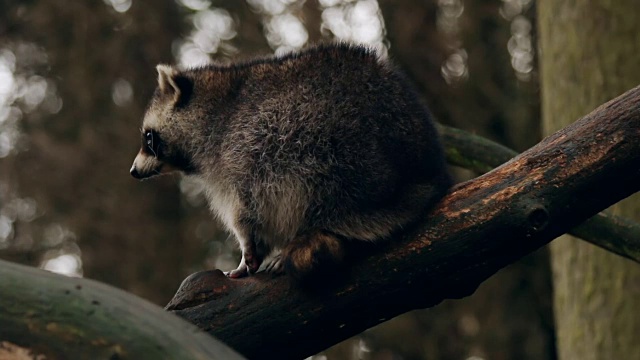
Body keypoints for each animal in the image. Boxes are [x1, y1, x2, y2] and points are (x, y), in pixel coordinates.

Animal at [130, 43, 452, 280]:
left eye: (149, 138)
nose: (133, 171)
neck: (215, 103)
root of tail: (421, 173)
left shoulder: (237, 151)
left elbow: (244, 211)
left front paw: (249, 250)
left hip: (330, 150)